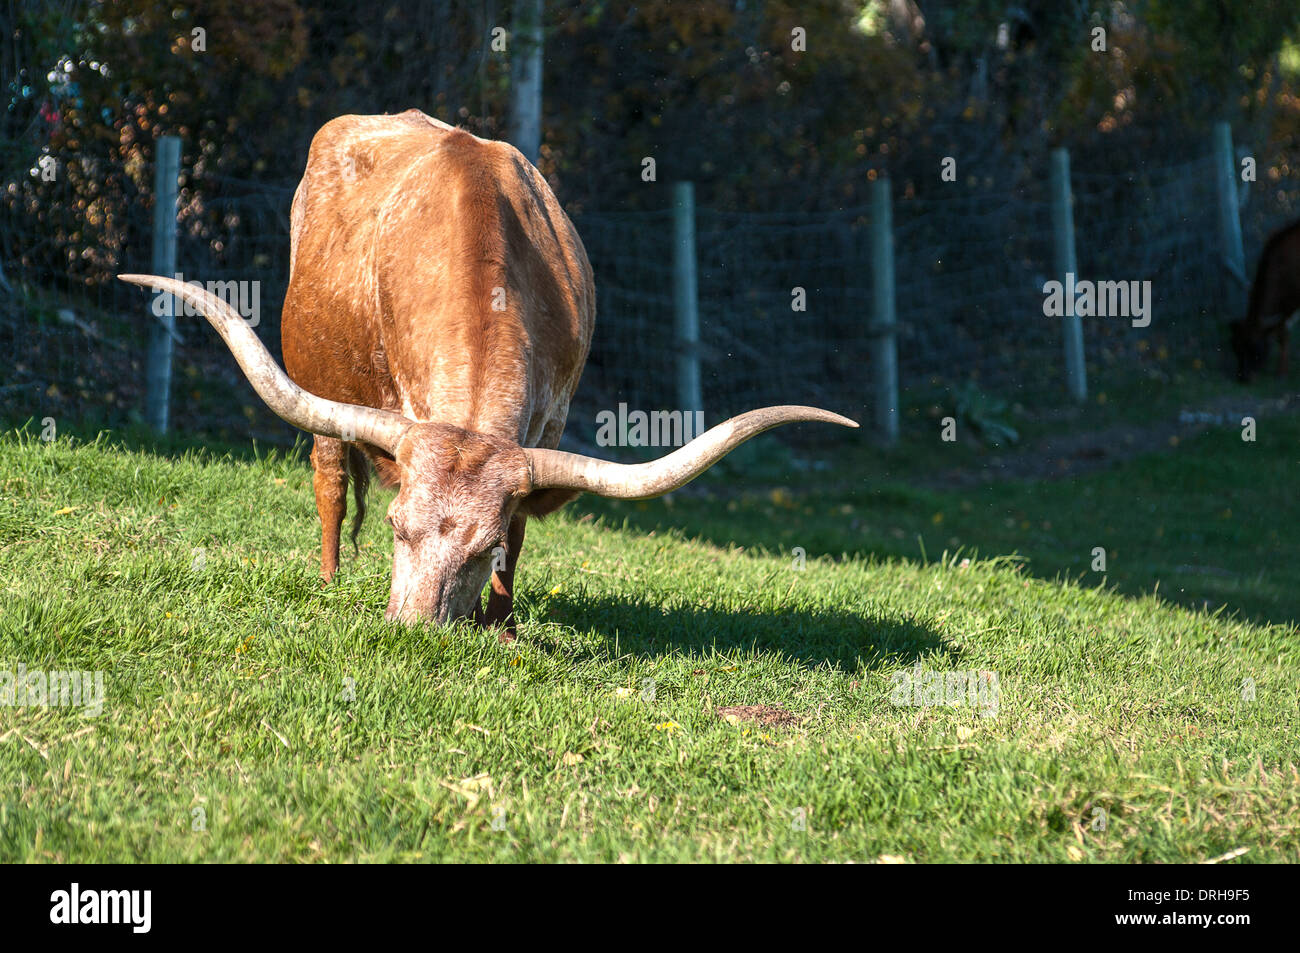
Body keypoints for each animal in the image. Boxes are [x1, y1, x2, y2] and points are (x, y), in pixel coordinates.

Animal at [122, 109, 852, 639]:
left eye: (483, 546)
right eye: (397, 527)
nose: (411, 632)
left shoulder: (549, 422)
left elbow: (524, 530)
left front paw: (500, 627)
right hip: (319, 387)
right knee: (329, 480)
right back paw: (327, 581)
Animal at [1227, 217, 1300, 382]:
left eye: (1255, 348)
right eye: (1235, 347)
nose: (1244, 378)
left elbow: (1282, 334)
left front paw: (1281, 373)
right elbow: (1283, 333)